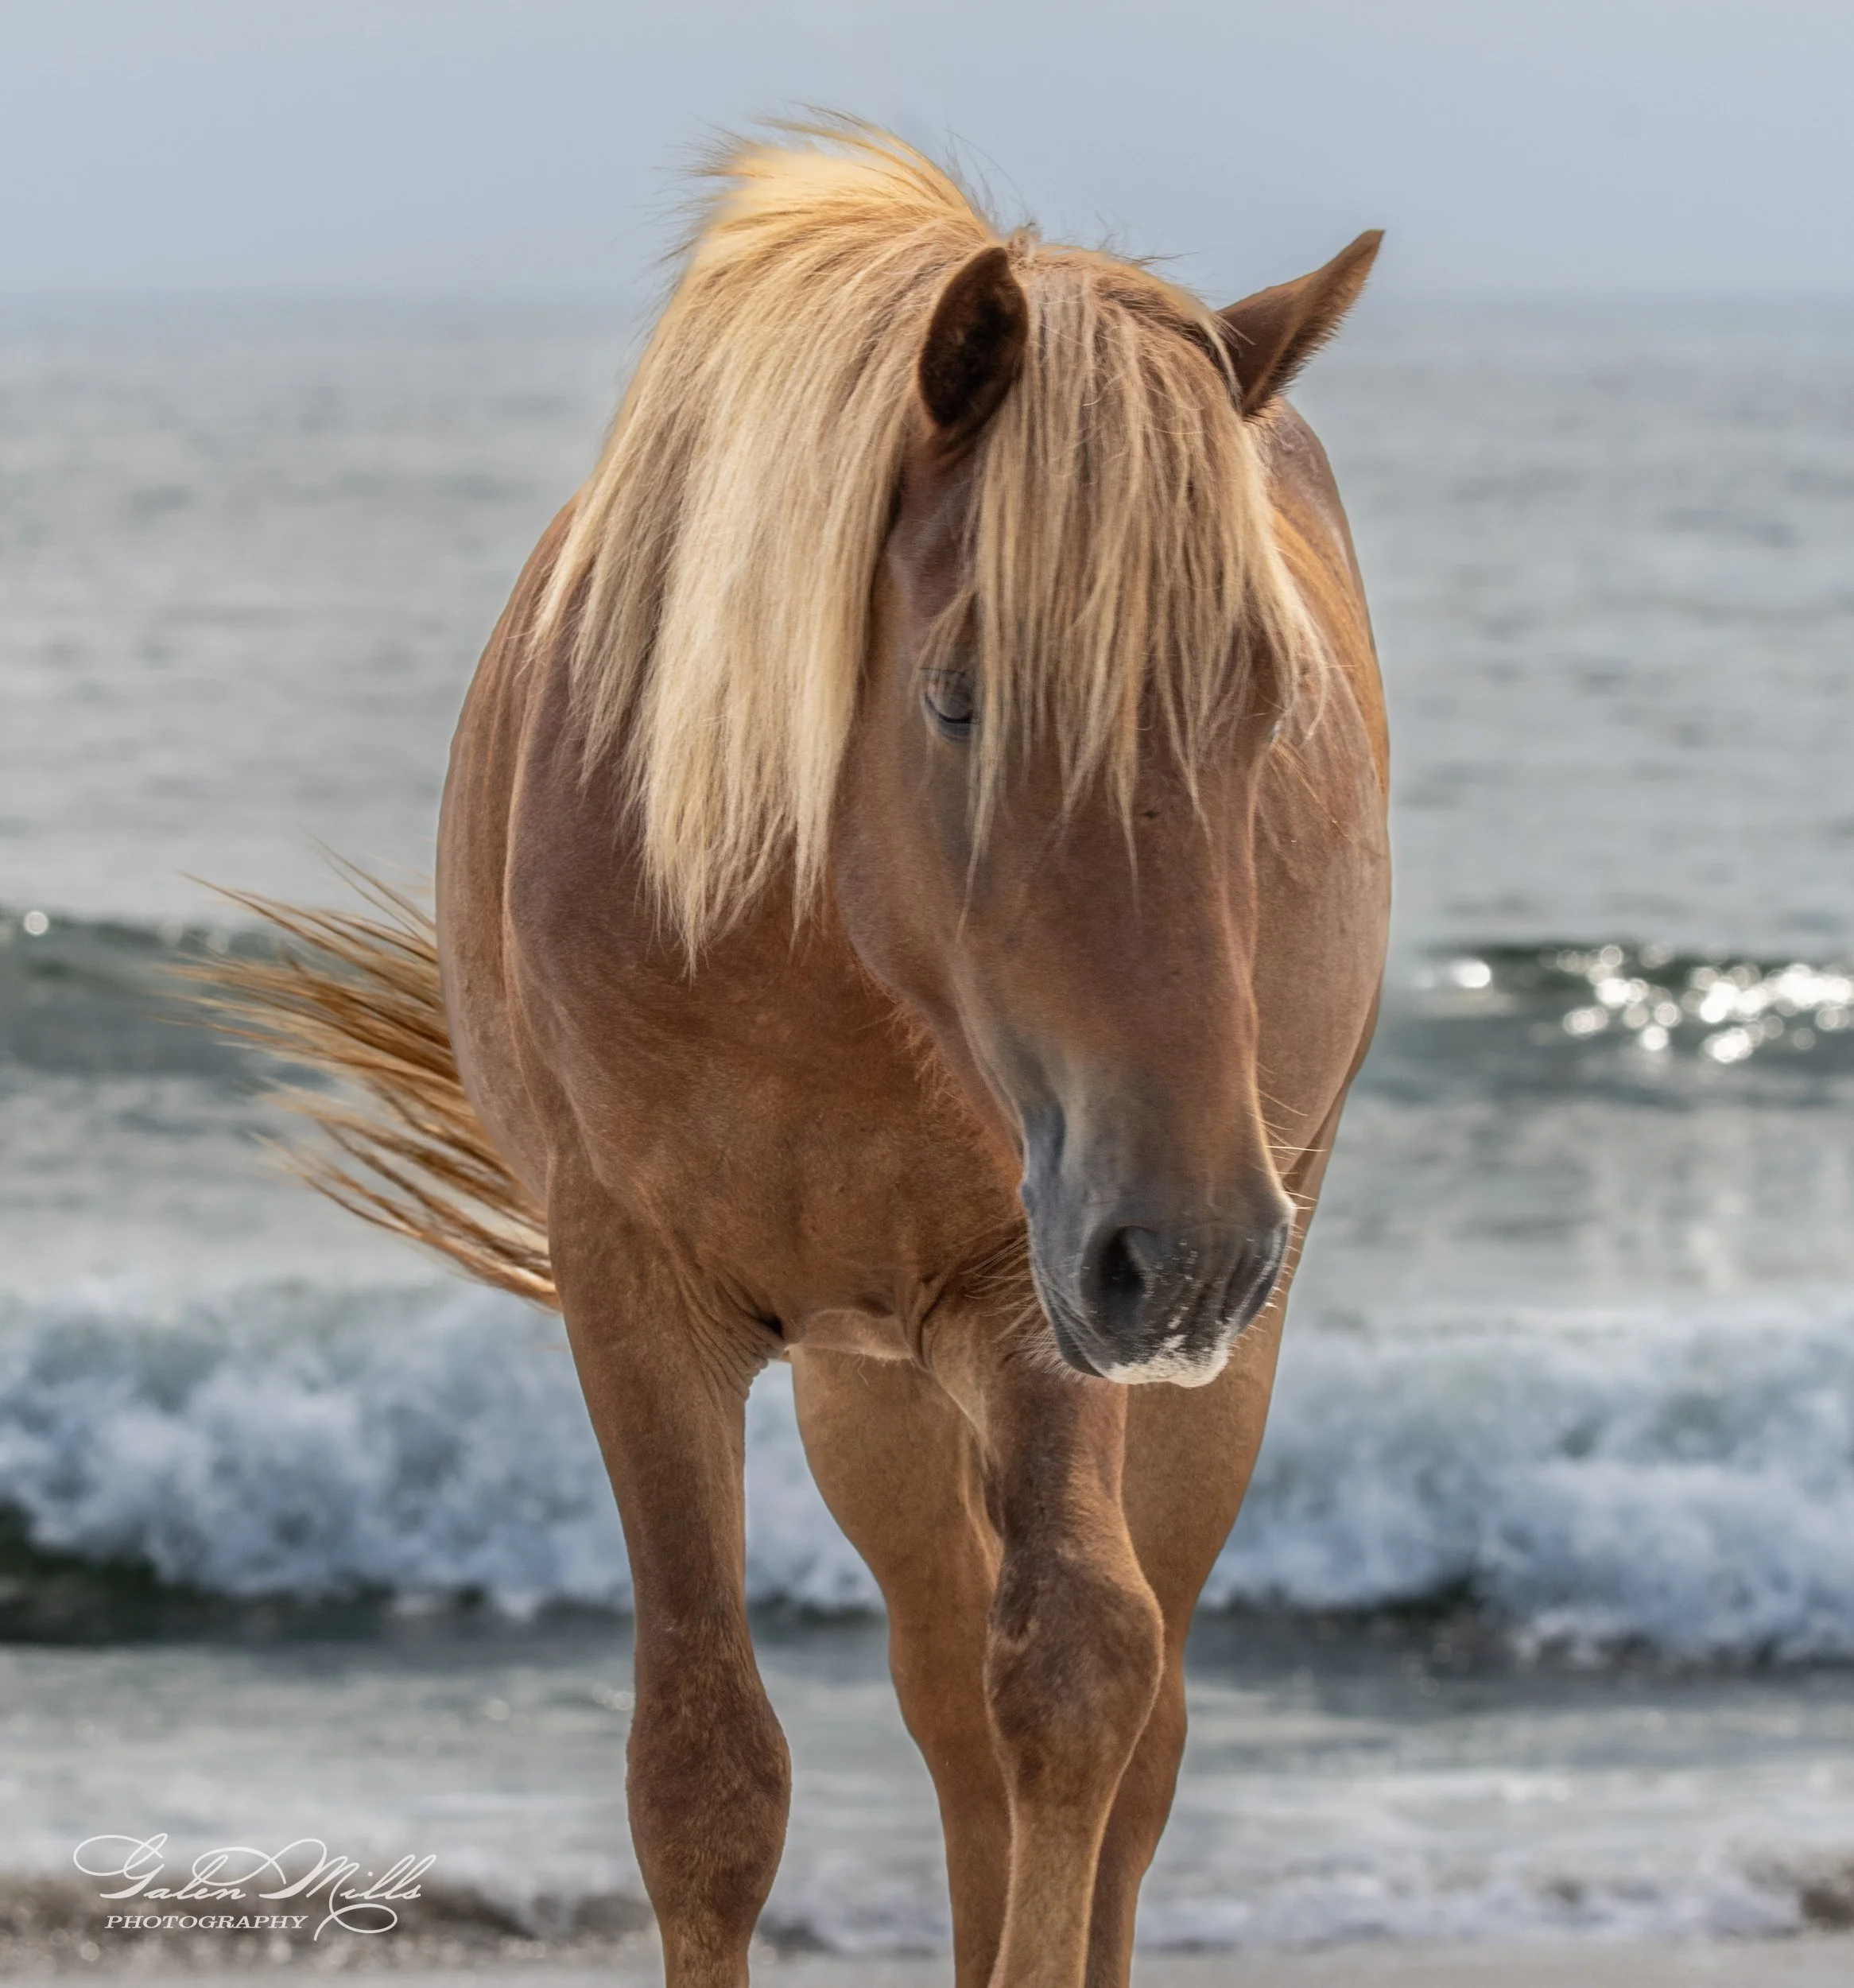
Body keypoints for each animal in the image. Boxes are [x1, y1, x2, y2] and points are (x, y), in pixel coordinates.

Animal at [222, 122, 1389, 1988]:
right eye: (955, 696)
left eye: (1267, 703)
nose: (1191, 1245)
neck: (807, 962)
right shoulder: (635, 1302)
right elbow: (706, 1778)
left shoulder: (1045, 1294)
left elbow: (1075, 1686)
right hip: (884, 1385)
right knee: (946, 1703)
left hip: (1181, 1357)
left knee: (1124, 1732)